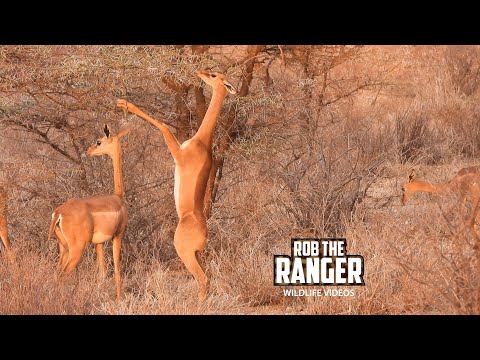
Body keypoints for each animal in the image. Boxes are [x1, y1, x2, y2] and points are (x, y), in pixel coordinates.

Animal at [47, 123, 131, 298]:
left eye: (98, 142)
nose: (89, 150)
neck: (118, 198)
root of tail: (59, 213)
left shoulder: (98, 243)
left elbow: (103, 272)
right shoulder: (117, 235)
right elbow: (117, 271)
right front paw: (119, 299)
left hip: (63, 248)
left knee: (57, 273)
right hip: (77, 249)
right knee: (64, 274)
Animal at [116, 69, 236, 300]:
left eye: (213, 75)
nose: (200, 71)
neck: (201, 141)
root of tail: (204, 236)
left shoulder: (177, 154)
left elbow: (163, 126)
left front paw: (124, 103)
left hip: (185, 253)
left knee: (204, 281)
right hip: (196, 256)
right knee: (206, 280)